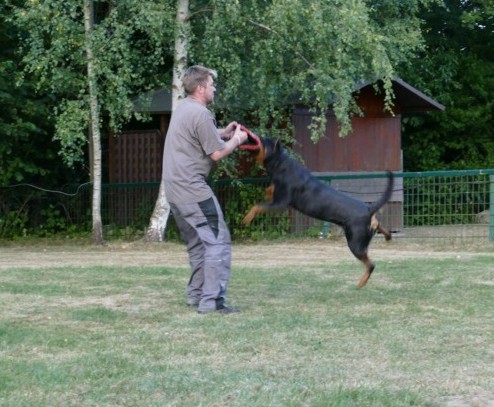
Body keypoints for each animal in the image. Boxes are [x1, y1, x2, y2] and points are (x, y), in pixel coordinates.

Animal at [242, 138, 394, 288]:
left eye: (261, 140)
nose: (248, 138)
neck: (281, 164)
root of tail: (369, 209)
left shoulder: (281, 203)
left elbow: (257, 206)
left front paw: (246, 218)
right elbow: (268, 192)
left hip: (355, 243)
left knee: (371, 264)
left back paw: (361, 283)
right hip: (367, 231)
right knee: (381, 228)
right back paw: (387, 236)